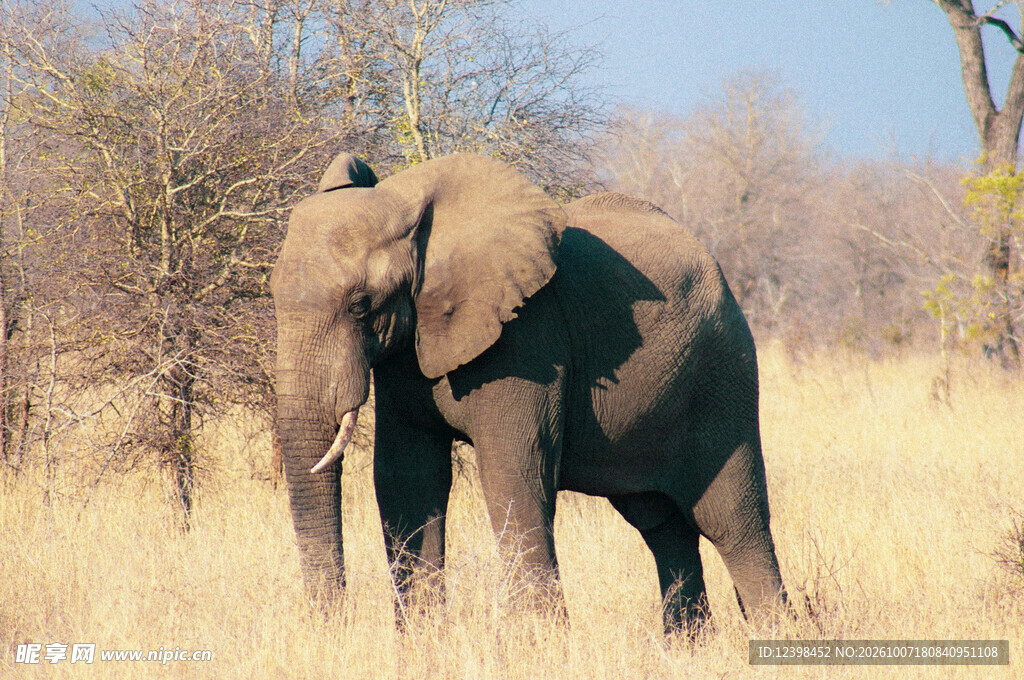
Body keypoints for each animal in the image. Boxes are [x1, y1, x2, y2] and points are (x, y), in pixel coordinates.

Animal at [270, 151, 787, 633]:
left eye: (360, 305)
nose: (334, 625)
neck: (408, 204)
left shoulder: (528, 337)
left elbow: (513, 473)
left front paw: (539, 642)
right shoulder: (405, 353)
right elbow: (407, 479)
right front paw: (423, 642)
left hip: (723, 376)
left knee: (732, 522)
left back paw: (772, 633)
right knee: (663, 527)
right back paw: (685, 648)